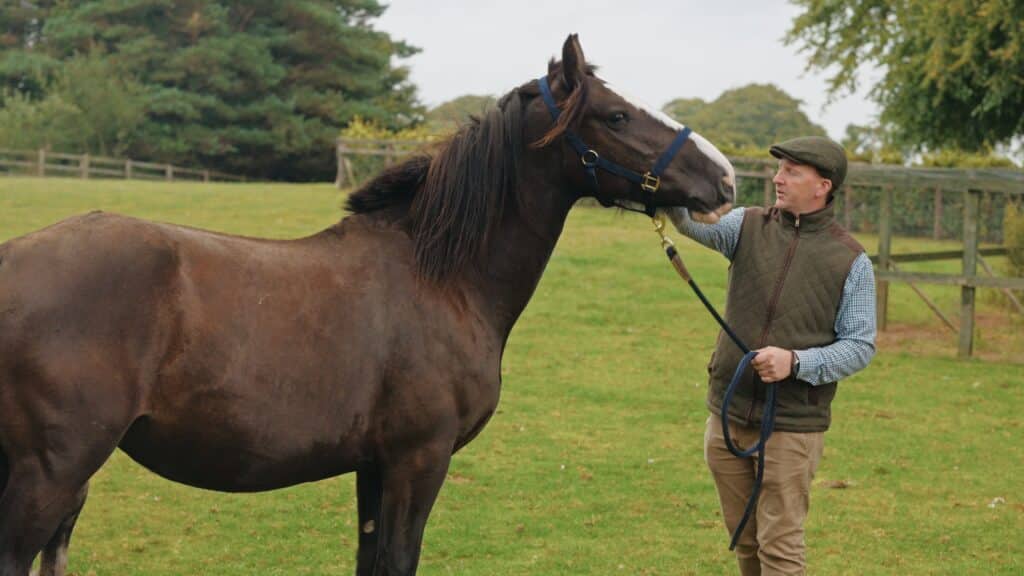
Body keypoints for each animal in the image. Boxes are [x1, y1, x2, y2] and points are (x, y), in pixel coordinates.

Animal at [0, 35, 737, 573]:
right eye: (616, 115)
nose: (725, 176)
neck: (439, 276)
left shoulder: (373, 468)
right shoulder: (418, 460)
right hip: (51, 472)